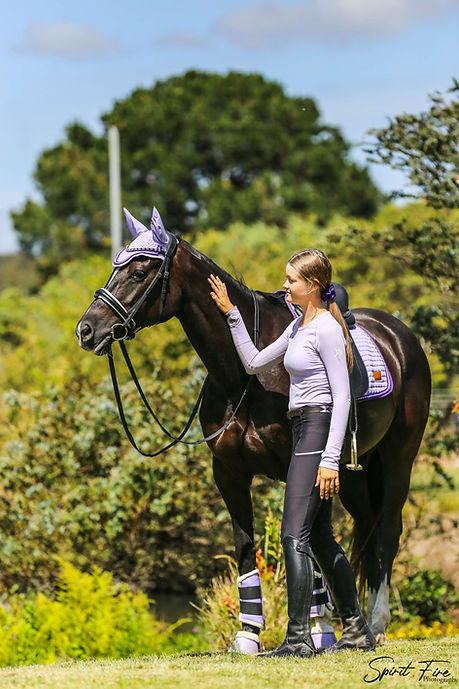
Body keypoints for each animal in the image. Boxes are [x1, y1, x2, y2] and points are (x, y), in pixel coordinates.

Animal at [75, 232, 432, 644]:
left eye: (136, 273)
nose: (86, 330)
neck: (246, 377)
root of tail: (400, 336)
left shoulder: (296, 467)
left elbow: (307, 547)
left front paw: (318, 629)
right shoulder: (229, 473)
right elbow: (245, 548)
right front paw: (247, 636)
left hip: (398, 459)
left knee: (388, 530)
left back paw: (375, 623)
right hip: (355, 473)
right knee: (369, 529)